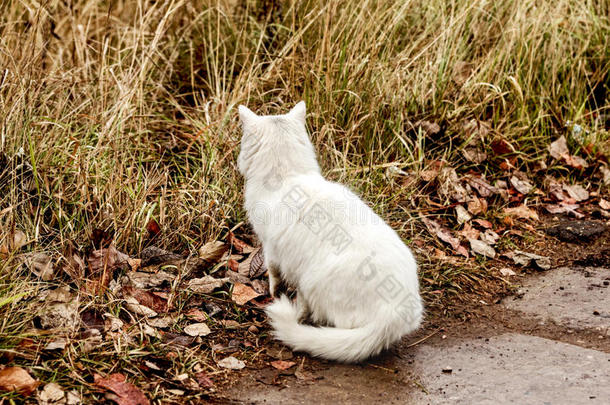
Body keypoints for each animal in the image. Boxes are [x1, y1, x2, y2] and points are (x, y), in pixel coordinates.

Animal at [235, 102, 420, 362]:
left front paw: (277, 294)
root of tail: (394, 316)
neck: (288, 175)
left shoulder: (271, 248)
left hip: (314, 280)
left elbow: (274, 275)